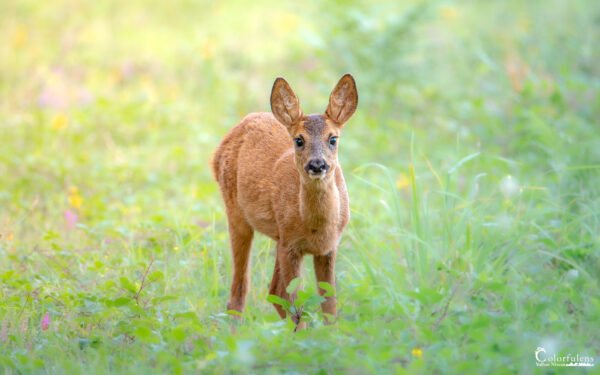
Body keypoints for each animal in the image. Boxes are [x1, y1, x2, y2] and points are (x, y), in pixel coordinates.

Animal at [213, 75, 358, 328]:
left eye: (333, 138)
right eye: (299, 140)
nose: (317, 164)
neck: (316, 228)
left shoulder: (328, 247)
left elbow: (329, 304)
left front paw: (331, 335)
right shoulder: (291, 246)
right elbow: (296, 301)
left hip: (278, 237)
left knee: (273, 291)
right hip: (237, 214)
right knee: (240, 292)